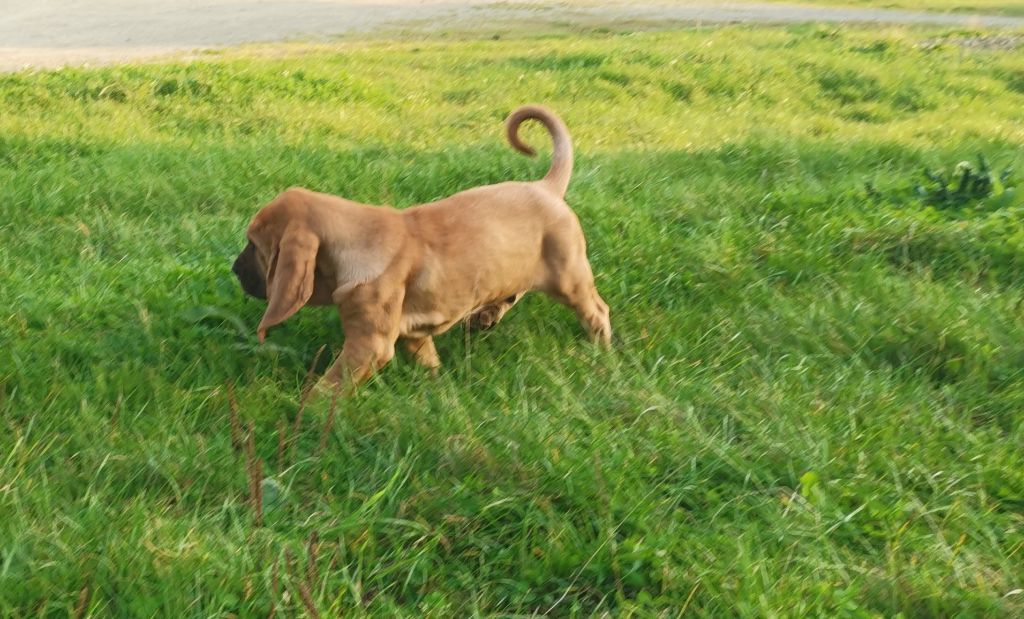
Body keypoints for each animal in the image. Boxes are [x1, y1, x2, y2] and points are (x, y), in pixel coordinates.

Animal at [232, 104, 611, 397]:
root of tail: (546, 187)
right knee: (512, 291)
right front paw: (434, 385)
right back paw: (486, 316)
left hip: (569, 277)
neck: (356, 238)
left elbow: (328, 387)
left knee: (596, 310)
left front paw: (303, 412)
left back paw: (601, 349)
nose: (234, 270)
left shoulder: (368, 344)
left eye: (255, 245)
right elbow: (428, 359)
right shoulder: (412, 334)